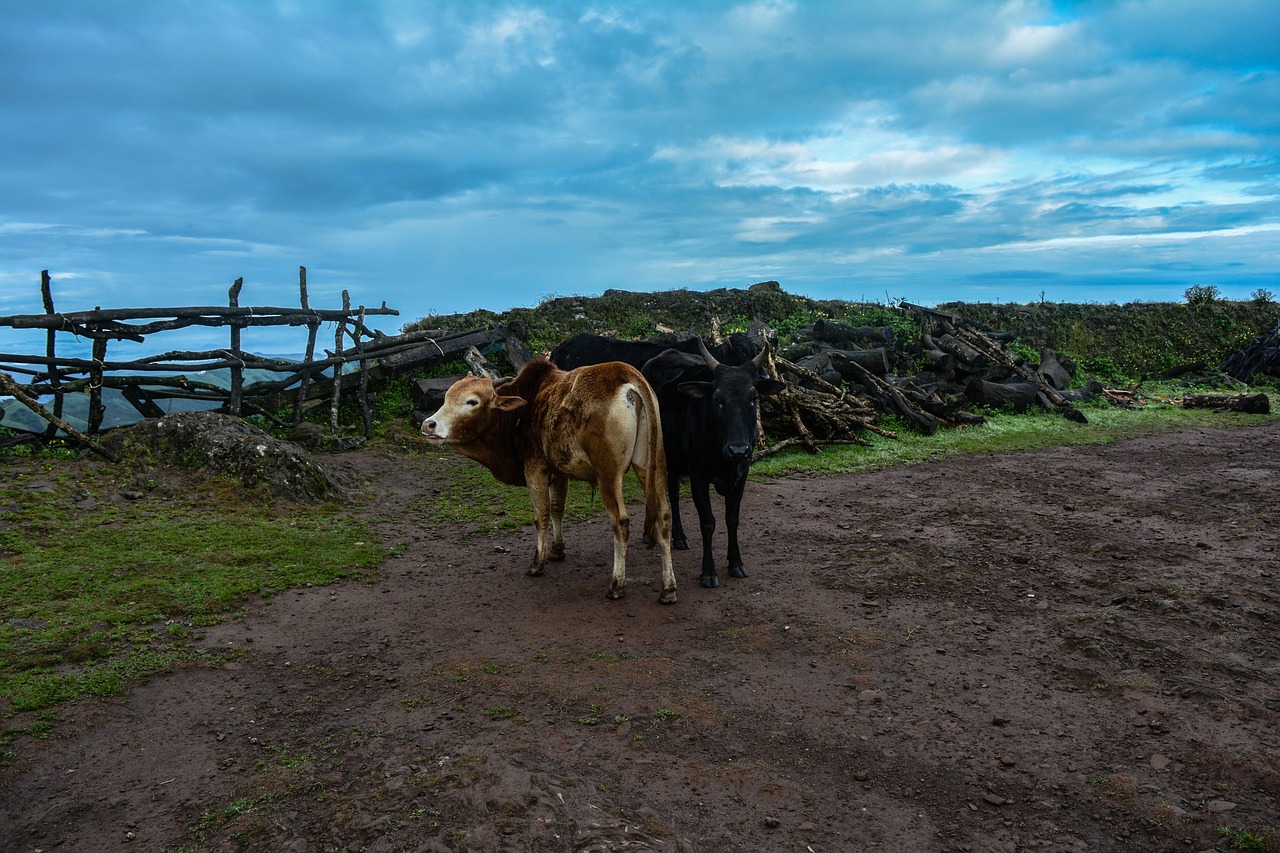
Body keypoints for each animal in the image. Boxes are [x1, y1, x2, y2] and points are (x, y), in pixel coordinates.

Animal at [419, 356, 680, 601]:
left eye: (471, 401)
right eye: (446, 398)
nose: (429, 425)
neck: (522, 410)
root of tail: (625, 374)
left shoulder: (534, 468)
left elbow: (541, 515)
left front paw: (538, 563)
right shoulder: (559, 473)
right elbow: (557, 509)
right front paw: (557, 550)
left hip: (608, 474)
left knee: (621, 522)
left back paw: (616, 585)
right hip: (652, 466)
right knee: (664, 516)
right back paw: (668, 589)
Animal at [645, 338, 783, 584]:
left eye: (754, 398)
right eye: (717, 399)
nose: (738, 450)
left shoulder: (742, 474)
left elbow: (732, 518)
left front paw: (736, 563)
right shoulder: (698, 476)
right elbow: (708, 521)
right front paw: (708, 572)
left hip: (674, 460)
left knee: (672, 490)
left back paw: (679, 537)